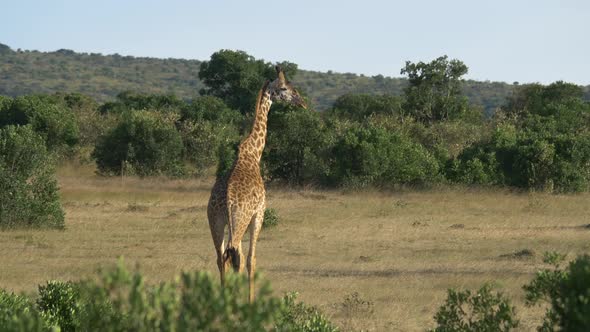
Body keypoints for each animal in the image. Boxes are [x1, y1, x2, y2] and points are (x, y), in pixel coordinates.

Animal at [208, 66, 308, 302]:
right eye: (284, 88)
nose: (301, 102)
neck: (253, 154)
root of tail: (226, 202)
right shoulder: (259, 213)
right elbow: (251, 259)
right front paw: (250, 301)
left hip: (215, 221)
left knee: (221, 257)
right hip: (240, 220)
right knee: (235, 256)